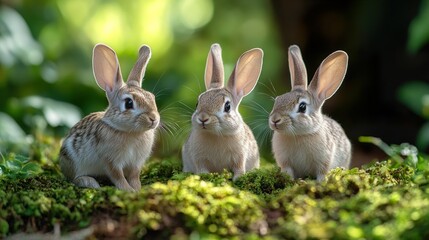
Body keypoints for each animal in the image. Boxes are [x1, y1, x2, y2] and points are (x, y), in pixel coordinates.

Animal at [59, 43, 160, 191]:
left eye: (152, 98)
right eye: (129, 103)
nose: (153, 119)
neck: (131, 132)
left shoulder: (136, 163)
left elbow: (134, 176)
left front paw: (138, 189)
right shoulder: (111, 161)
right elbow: (118, 176)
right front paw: (129, 190)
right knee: (74, 178)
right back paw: (90, 182)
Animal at [270, 44, 350, 181]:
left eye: (302, 107)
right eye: (277, 99)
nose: (275, 120)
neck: (299, 135)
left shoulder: (324, 160)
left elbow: (321, 172)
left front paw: (320, 182)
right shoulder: (285, 162)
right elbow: (288, 171)